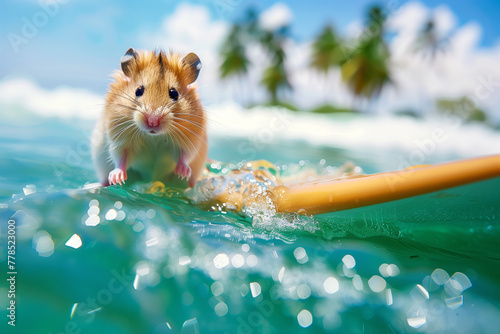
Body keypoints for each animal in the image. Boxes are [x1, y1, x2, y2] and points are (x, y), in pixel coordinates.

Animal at [92, 47, 207, 188]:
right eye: (138, 90)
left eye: (174, 93)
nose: (152, 122)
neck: (153, 136)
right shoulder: (120, 140)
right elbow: (120, 157)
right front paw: (117, 177)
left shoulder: (189, 141)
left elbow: (184, 156)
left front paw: (183, 173)